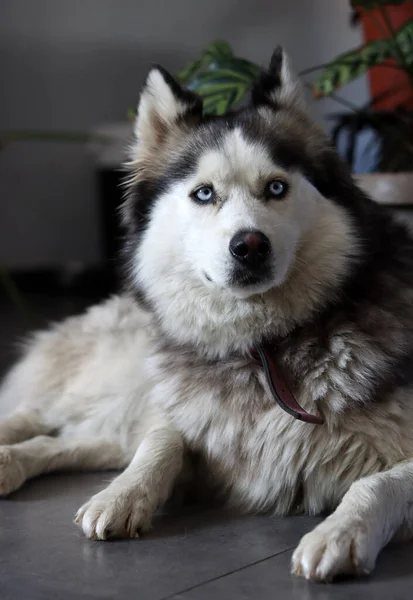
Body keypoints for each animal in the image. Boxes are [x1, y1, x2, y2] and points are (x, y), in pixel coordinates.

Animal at [1, 49, 412, 584]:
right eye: (203, 194)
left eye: (276, 187)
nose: (250, 245)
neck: (263, 348)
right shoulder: (193, 417)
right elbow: (161, 440)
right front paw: (123, 494)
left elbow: (377, 483)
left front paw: (341, 533)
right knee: (40, 414)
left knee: (65, 439)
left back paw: (9, 462)